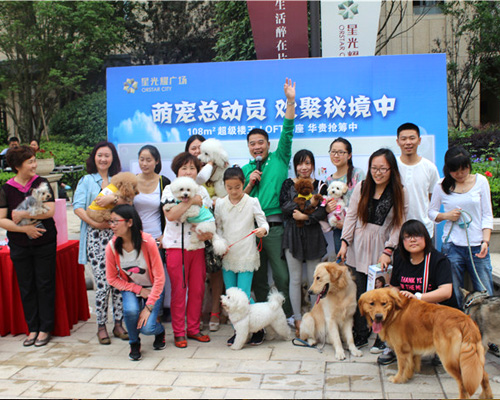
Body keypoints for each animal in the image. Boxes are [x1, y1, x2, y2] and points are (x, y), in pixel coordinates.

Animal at [359, 288, 492, 399]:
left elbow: (402, 366)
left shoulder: (402, 348)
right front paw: (409, 376)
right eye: (371, 303)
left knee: (463, 383)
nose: (379, 316)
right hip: (472, 358)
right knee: (483, 375)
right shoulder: (410, 348)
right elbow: (410, 365)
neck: (395, 311)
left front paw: (398, 379)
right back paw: (486, 395)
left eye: (384, 303)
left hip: (450, 359)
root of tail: (466, 320)